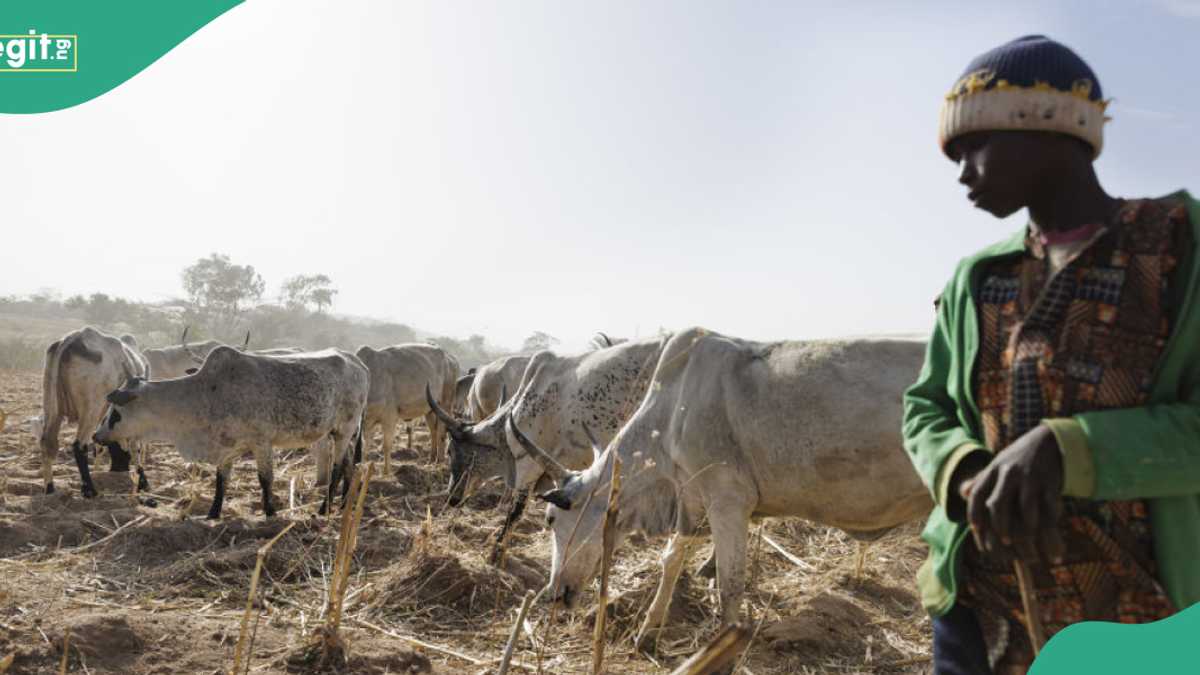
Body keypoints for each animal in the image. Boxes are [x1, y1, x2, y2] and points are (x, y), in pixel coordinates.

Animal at [93, 343, 367, 516]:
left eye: (115, 412)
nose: (97, 435)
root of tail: (358, 363)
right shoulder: (226, 447)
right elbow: (221, 481)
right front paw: (213, 513)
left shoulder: (261, 443)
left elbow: (265, 479)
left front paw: (270, 512)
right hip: (343, 434)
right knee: (348, 466)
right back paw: (344, 504)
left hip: (345, 430)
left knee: (336, 468)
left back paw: (323, 509)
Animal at [520, 329, 931, 643]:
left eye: (550, 519)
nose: (554, 595)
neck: (672, 410)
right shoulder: (692, 502)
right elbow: (671, 560)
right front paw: (646, 632)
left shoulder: (728, 501)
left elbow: (729, 587)